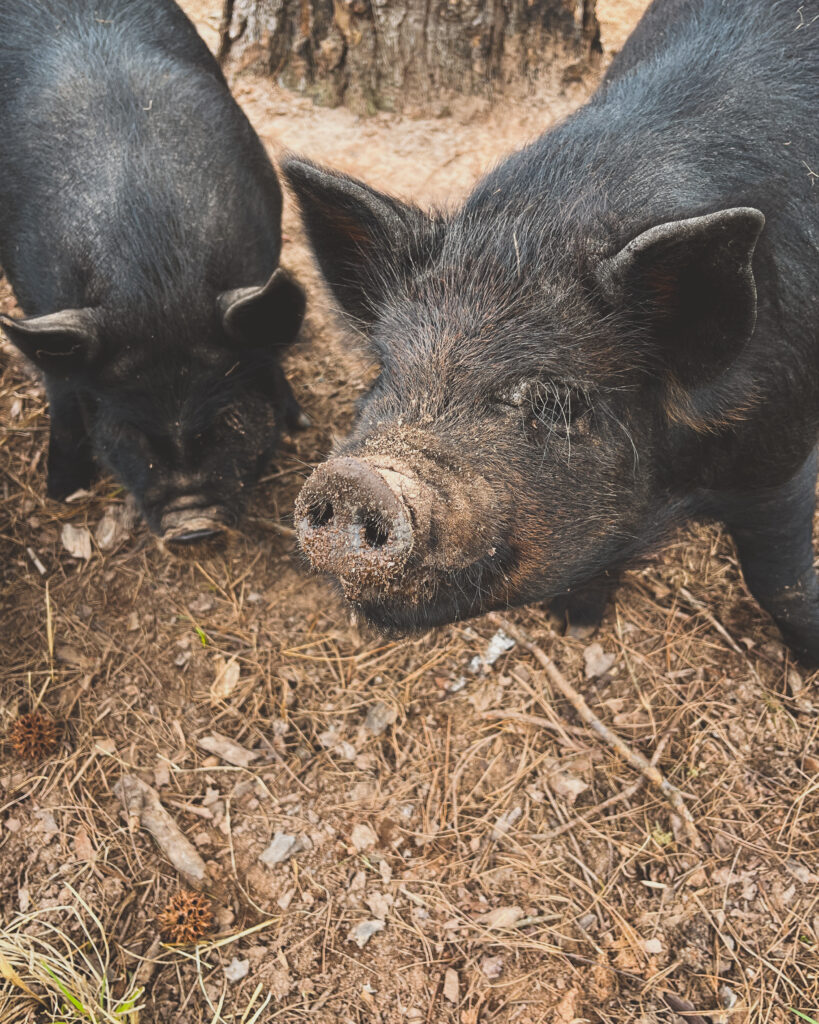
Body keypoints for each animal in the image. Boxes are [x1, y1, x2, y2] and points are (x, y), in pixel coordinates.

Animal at [0, 0, 305, 548]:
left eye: (225, 419)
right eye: (129, 430)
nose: (192, 527)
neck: (158, 281)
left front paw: (299, 422)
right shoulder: (39, 296)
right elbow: (61, 389)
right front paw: (63, 490)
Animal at [284, 0, 818, 663]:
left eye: (553, 399)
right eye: (386, 370)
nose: (355, 478)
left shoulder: (783, 455)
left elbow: (780, 582)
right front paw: (575, 623)